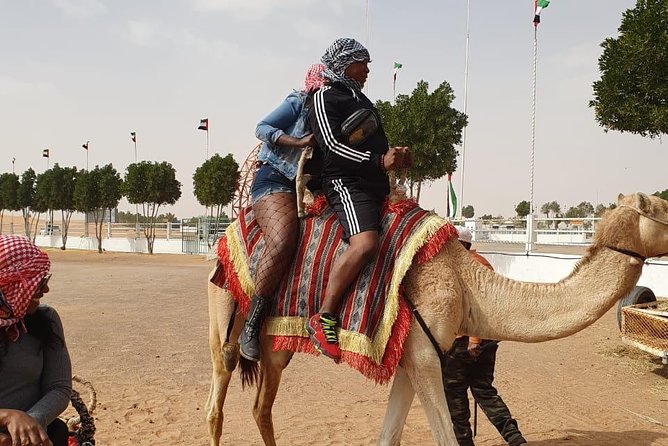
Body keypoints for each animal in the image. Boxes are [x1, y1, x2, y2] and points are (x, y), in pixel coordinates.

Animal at [205, 192, 668, 446]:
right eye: (664, 208)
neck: (468, 285)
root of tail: (225, 234)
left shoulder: (415, 355)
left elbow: (388, 436)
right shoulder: (425, 356)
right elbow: (446, 437)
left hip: (276, 346)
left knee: (262, 406)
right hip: (223, 308)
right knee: (218, 391)